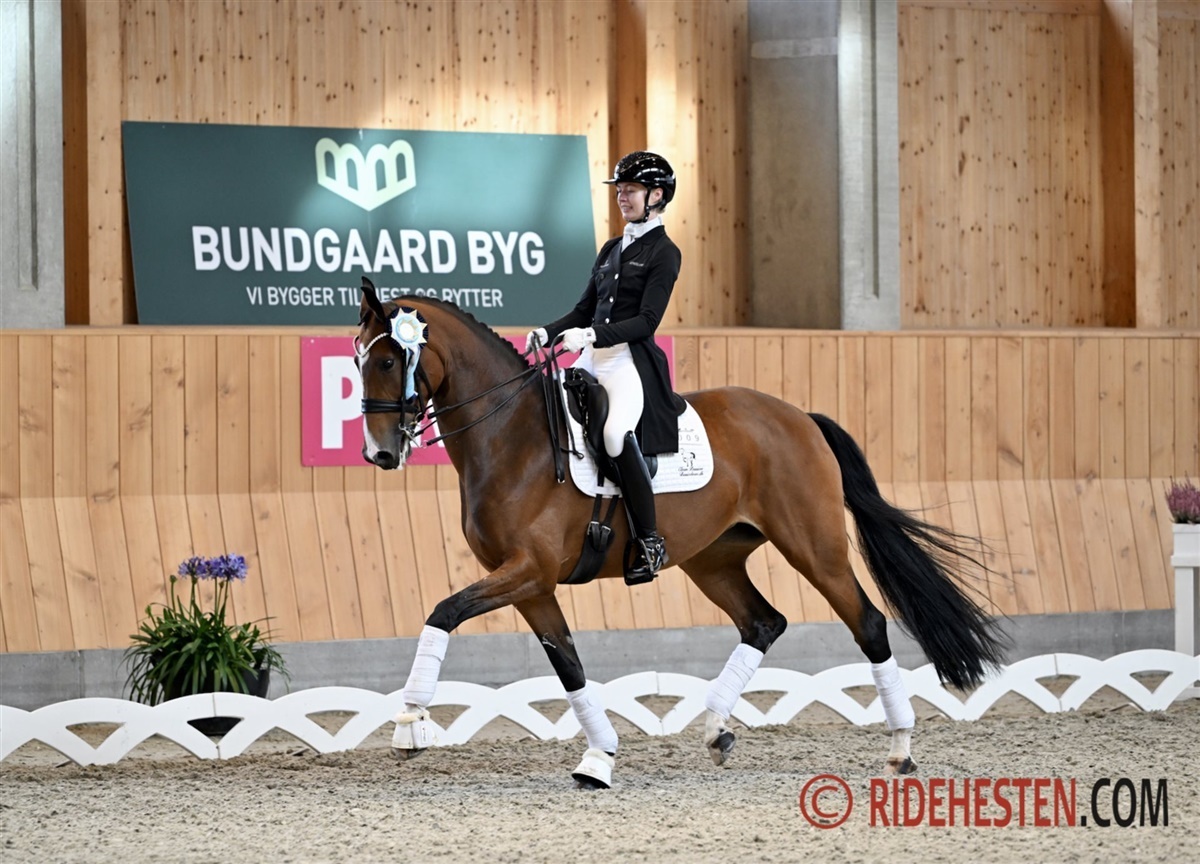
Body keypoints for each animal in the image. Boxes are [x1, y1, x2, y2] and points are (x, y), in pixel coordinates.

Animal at [354, 278, 1007, 789]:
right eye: (358, 355)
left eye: (388, 360)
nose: (379, 454)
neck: (512, 437)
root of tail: (799, 417)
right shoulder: (532, 586)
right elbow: (569, 667)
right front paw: (599, 758)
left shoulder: (528, 572)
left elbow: (442, 613)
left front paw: (409, 724)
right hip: (713, 559)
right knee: (763, 622)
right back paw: (717, 729)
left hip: (814, 549)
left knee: (867, 624)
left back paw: (900, 749)